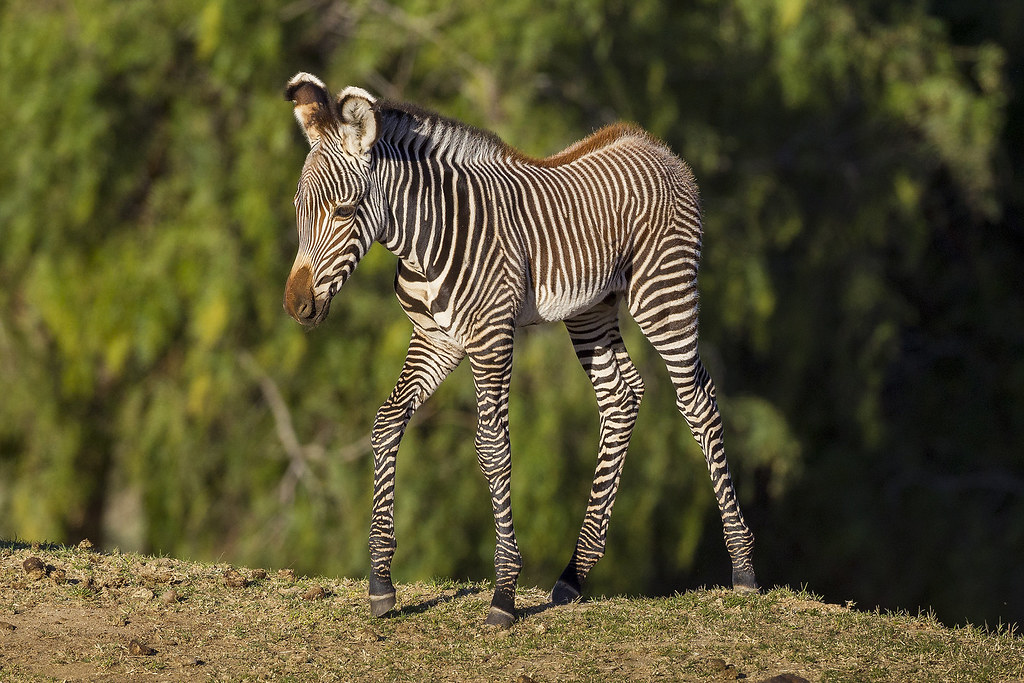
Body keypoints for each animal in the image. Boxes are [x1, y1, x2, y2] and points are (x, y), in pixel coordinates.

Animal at [282, 72, 758, 628]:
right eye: (298, 211)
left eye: (343, 210)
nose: (297, 306)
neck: (424, 241)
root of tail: (656, 145)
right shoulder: (436, 339)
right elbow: (387, 421)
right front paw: (381, 582)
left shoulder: (491, 338)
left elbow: (492, 448)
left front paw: (504, 594)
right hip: (591, 309)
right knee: (622, 398)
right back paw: (574, 575)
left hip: (665, 296)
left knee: (699, 403)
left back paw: (744, 569)